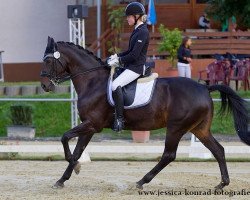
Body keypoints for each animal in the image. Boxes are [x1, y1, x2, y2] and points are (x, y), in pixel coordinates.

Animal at [40, 37, 249, 191]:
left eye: (48, 60)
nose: (44, 86)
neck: (92, 81)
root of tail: (205, 87)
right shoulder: (89, 126)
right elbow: (77, 151)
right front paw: (63, 178)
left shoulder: (92, 124)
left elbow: (65, 138)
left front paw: (75, 168)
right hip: (199, 129)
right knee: (218, 150)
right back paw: (222, 184)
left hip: (176, 127)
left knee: (169, 155)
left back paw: (141, 182)